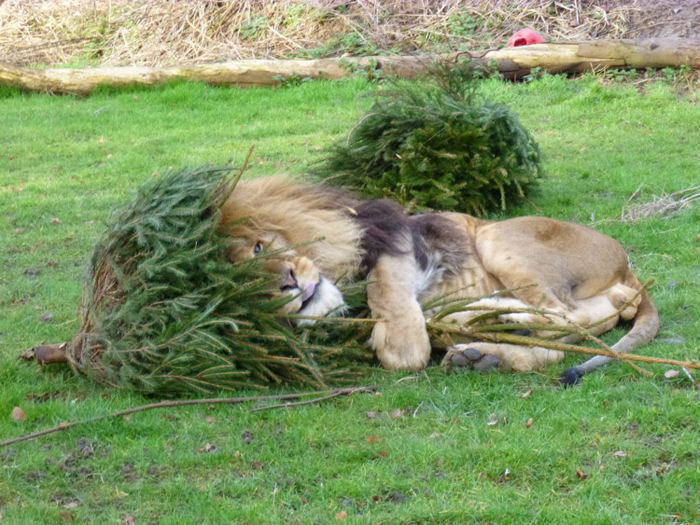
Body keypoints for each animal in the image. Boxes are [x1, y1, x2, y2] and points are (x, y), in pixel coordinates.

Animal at [221, 174, 660, 382]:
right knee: (561, 338)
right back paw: (479, 350)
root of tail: (626, 267)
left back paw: (476, 319)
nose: (289, 283)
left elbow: (383, 285)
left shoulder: (405, 236)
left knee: (563, 314)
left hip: (495, 237)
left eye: (259, 248)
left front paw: (401, 344)